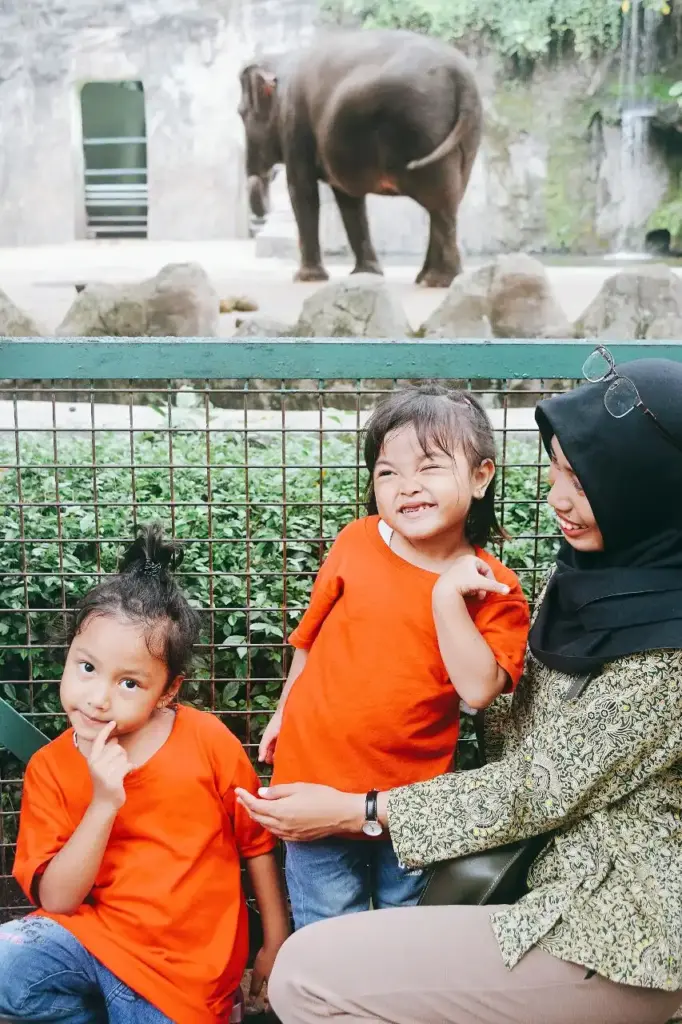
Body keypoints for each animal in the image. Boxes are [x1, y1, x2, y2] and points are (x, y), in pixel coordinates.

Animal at [238, 29, 482, 288]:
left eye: (241, 113)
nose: (269, 173)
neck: (283, 58)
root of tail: (460, 76)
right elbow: (349, 199)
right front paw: (366, 274)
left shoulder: (294, 124)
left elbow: (302, 190)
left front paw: (307, 278)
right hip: (466, 135)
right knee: (450, 197)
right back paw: (427, 278)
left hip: (421, 127)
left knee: (439, 201)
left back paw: (437, 280)